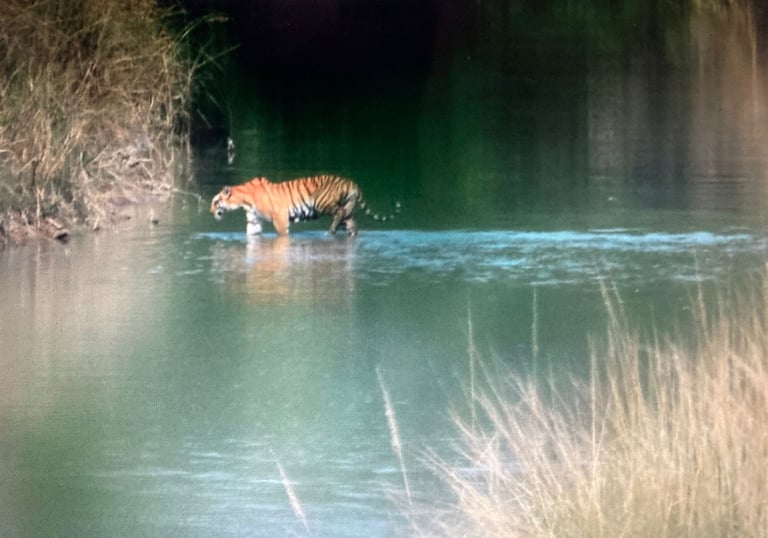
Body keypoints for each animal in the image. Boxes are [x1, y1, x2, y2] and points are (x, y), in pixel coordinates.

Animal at [210, 174, 397, 236]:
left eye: (215, 202)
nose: (210, 211)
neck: (244, 201)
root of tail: (352, 183)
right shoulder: (254, 221)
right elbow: (252, 234)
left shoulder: (279, 218)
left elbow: (283, 235)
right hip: (349, 210)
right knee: (351, 223)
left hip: (323, 203)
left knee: (339, 212)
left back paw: (331, 230)